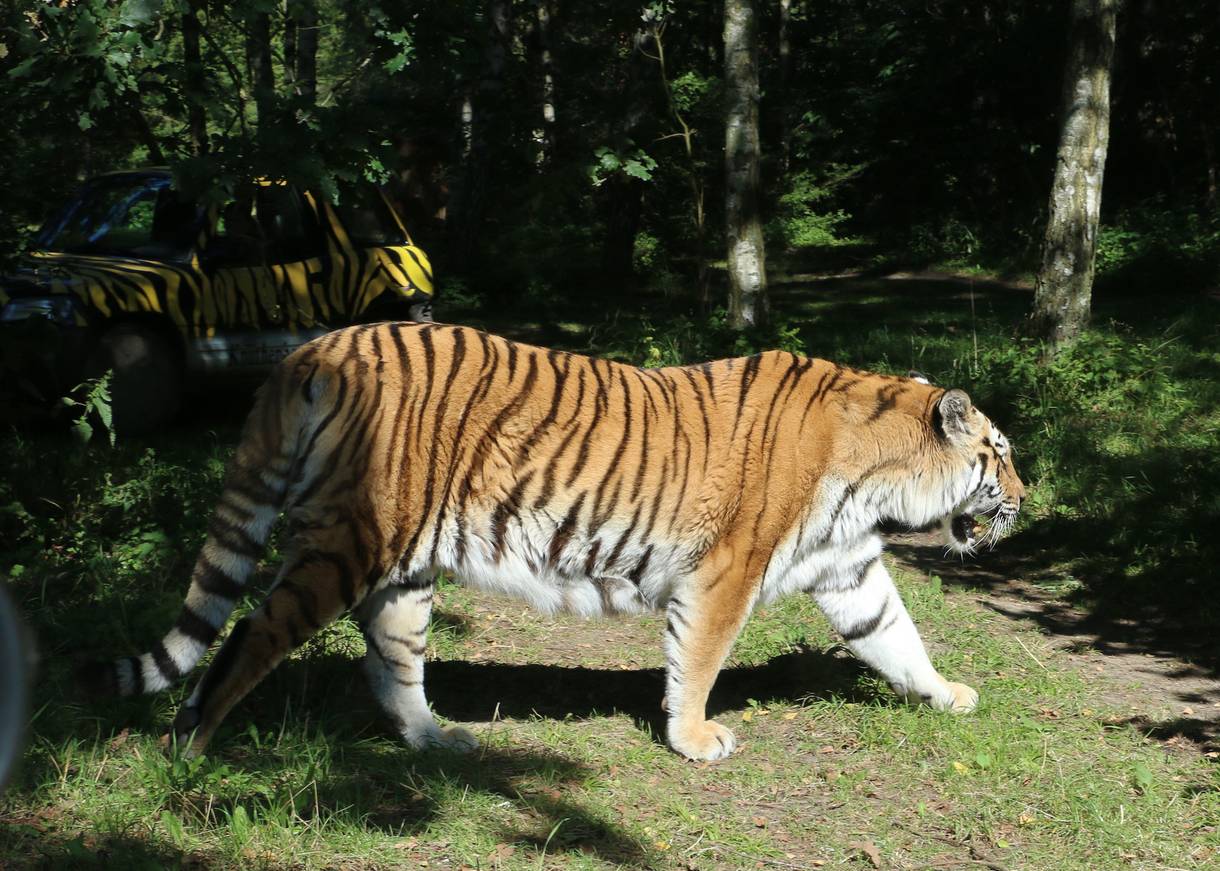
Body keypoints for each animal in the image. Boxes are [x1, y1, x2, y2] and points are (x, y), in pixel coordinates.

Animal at [81, 322, 1025, 762]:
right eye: (1001, 453)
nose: (1024, 499)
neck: (877, 477)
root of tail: (314, 346)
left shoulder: (849, 568)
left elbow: (896, 636)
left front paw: (948, 694)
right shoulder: (725, 572)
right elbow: (699, 659)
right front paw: (694, 739)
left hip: (405, 567)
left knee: (390, 659)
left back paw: (440, 741)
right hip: (345, 543)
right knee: (250, 634)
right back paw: (190, 750)